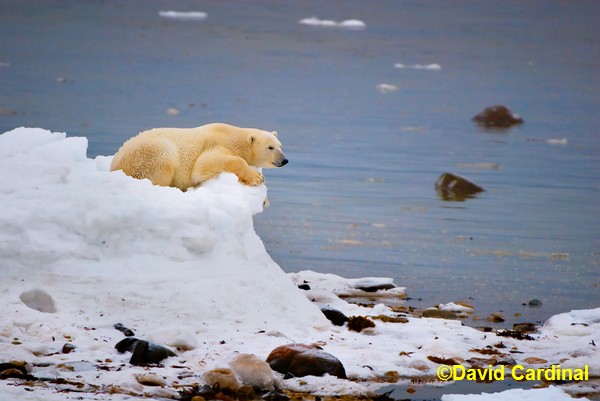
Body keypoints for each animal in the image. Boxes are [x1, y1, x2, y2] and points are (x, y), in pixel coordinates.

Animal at [110, 122, 288, 191]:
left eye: (280, 145)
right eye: (270, 147)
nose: (284, 160)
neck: (235, 136)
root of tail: (115, 166)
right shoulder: (217, 142)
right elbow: (204, 164)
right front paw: (256, 177)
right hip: (150, 154)